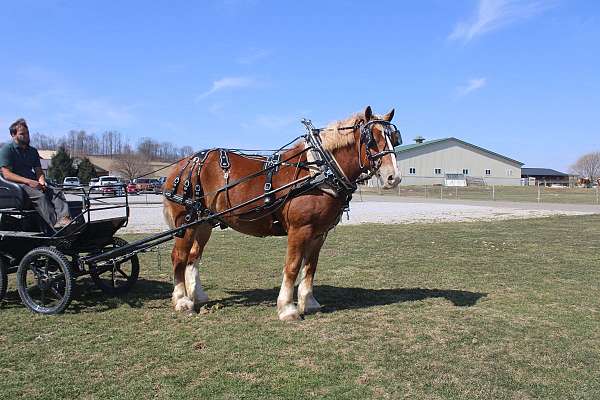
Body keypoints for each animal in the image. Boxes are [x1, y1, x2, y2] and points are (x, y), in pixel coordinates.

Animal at [162, 106, 400, 322]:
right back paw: (182, 301)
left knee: (193, 256)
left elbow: (310, 267)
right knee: (179, 257)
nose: (393, 177)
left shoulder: (319, 233)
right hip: (186, 223)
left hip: (204, 224)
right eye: (372, 140)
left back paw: (198, 296)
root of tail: (184, 164)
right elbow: (293, 266)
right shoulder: (299, 230)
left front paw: (309, 302)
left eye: (394, 139)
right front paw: (287, 308)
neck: (319, 169)